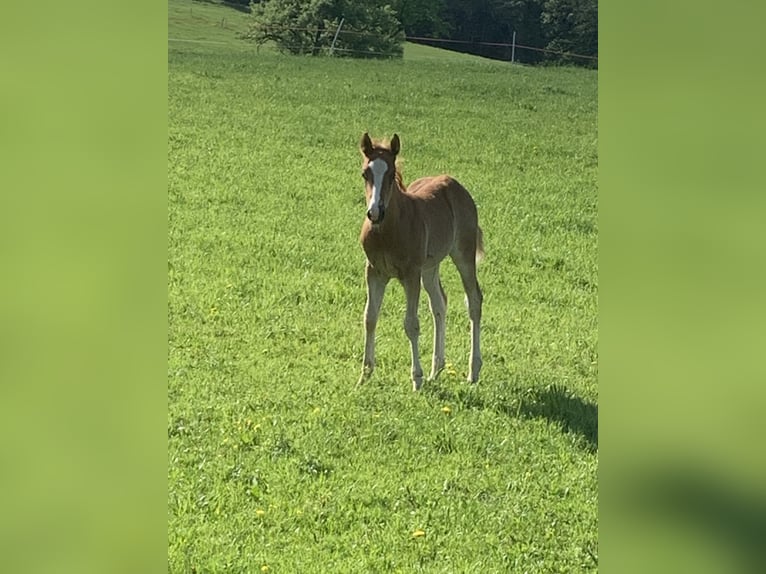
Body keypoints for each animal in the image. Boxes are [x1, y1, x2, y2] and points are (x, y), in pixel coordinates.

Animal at [358, 132, 486, 392]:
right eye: (366, 173)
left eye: (391, 174)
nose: (375, 212)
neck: (387, 230)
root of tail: (456, 184)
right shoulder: (374, 272)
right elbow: (370, 318)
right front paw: (364, 375)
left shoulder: (411, 274)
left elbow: (411, 324)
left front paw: (416, 378)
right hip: (430, 267)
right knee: (439, 303)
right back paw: (436, 370)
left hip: (463, 254)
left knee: (474, 300)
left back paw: (473, 371)